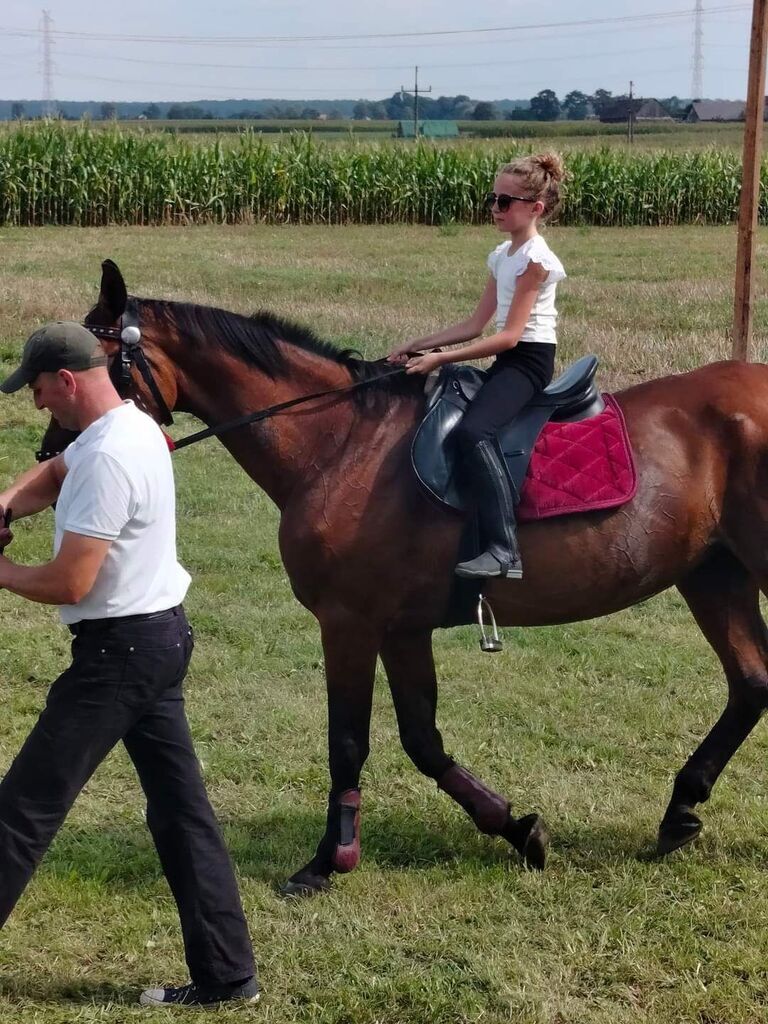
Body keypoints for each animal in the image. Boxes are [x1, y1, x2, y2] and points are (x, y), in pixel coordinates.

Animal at [41, 260, 768, 892]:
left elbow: (347, 740)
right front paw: (517, 828)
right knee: (752, 683)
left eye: (90, 371)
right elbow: (422, 739)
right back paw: (680, 811)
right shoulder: (402, 629)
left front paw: (327, 861)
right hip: (714, 573)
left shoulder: (350, 623)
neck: (340, 442)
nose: (54, 458)